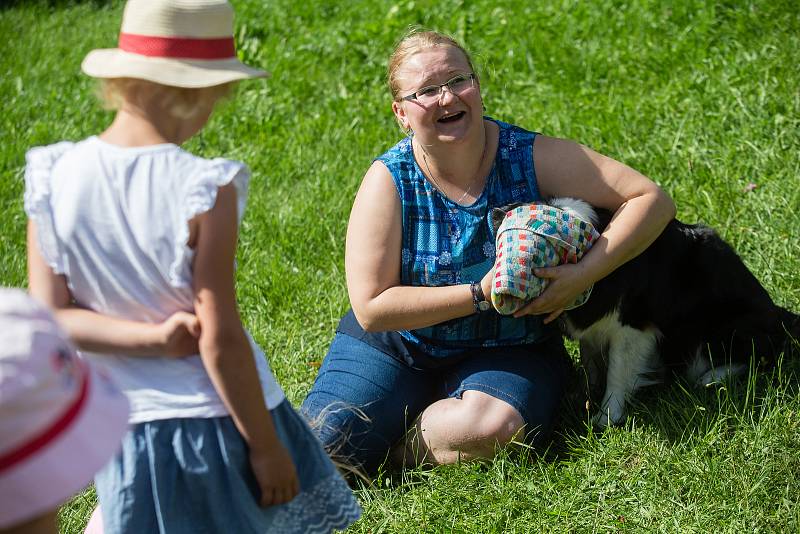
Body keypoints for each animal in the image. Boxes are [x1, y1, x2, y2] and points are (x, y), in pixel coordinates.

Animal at [490, 199, 796, 430]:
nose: (493, 211)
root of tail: (781, 318)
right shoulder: (593, 329)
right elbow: (591, 359)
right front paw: (585, 393)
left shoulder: (634, 327)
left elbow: (617, 370)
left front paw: (607, 416)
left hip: (727, 328)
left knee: (759, 356)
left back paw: (713, 377)